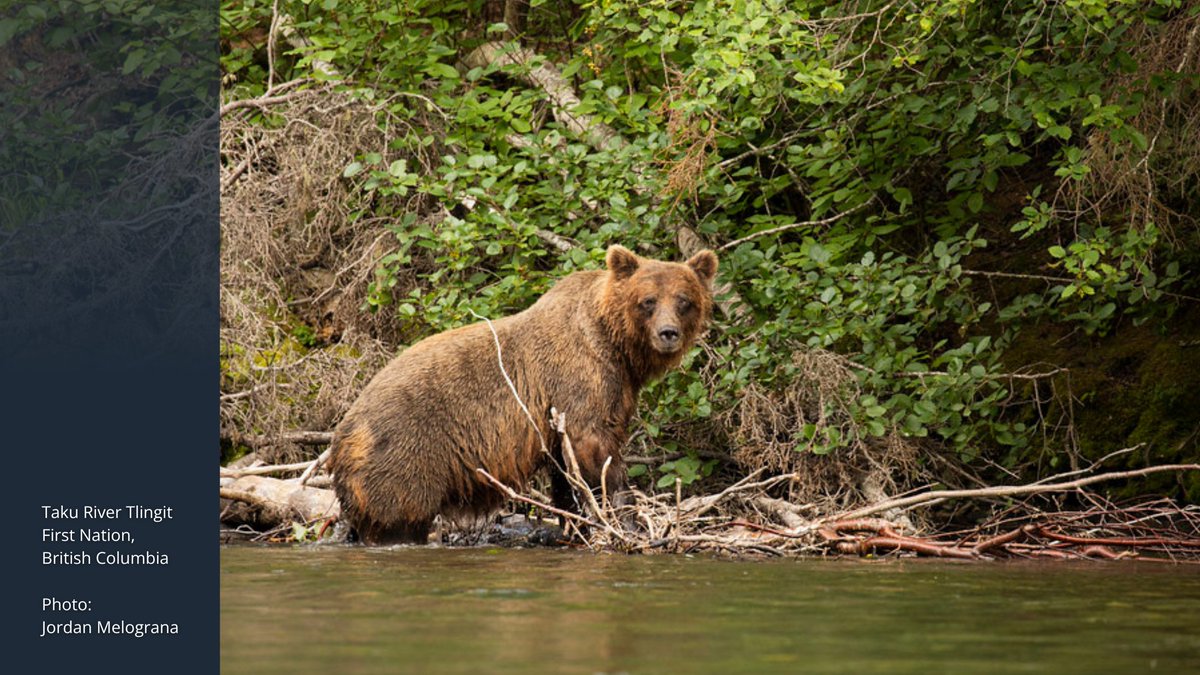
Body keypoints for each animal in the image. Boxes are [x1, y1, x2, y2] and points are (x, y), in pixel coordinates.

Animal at [328, 244, 718, 544]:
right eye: (648, 300)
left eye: (684, 300)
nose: (668, 333)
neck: (616, 345)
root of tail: (341, 434)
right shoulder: (580, 378)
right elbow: (596, 447)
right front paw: (628, 518)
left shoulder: (577, 404)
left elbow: (565, 467)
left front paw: (572, 525)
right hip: (405, 458)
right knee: (401, 518)